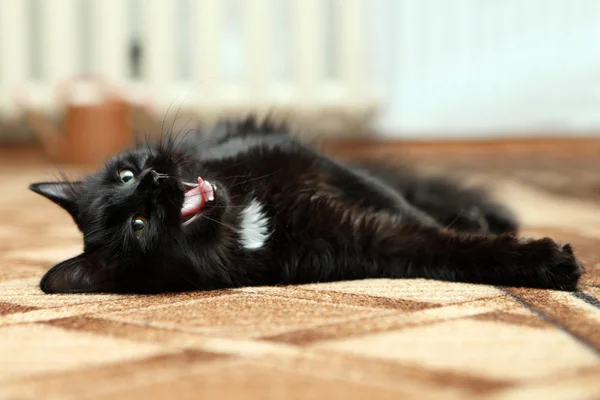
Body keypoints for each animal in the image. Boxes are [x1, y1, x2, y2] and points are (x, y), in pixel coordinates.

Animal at [28, 118, 580, 294]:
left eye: (125, 176)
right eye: (140, 226)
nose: (153, 177)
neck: (247, 222)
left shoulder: (315, 165)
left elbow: (415, 216)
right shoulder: (365, 242)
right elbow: (441, 249)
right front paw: (546, 263)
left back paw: (481, 213)